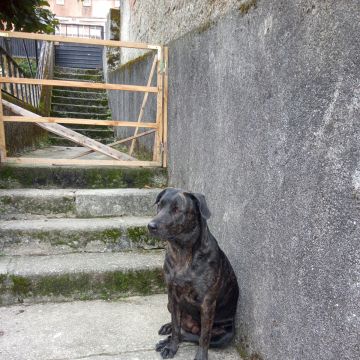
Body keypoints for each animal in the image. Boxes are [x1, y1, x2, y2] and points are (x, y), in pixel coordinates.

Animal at [148, 188, 238, 360]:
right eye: (159, 205)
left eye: (177, 209)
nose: (150, 226)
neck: (181, 252)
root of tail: (192, 326)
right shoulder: (173, 295)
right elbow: (176, 325)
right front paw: (172, 346)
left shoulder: (207, 304)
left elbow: (204, 338)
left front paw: (200, 356)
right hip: (169, 303)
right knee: (179, 326)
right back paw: (167, 330)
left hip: (225, 336)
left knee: (194, 336)